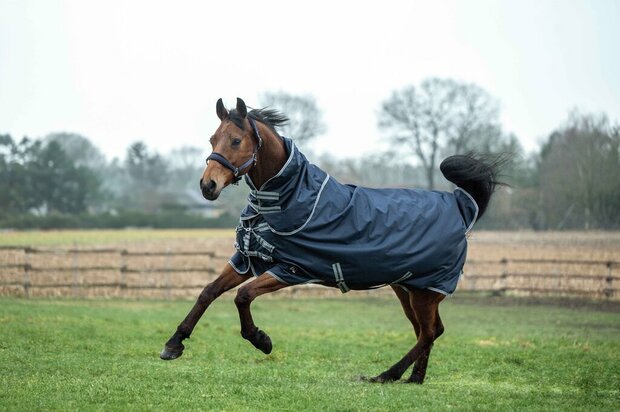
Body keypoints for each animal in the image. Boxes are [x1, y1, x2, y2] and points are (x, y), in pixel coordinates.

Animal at [161, 98, 504, 384]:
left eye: (235, 140)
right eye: (212, 139)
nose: (208, 185)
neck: (286, 198)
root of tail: (460, 207)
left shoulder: (291, 269)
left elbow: (242, 297)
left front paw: (261, 340)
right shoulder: (249, 258)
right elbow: (208, 292)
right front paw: (173, 344)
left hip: (425, 292)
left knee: (429, 332)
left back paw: (386, 375)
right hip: (408, 288)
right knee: (430, 331)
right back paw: (413, 379)